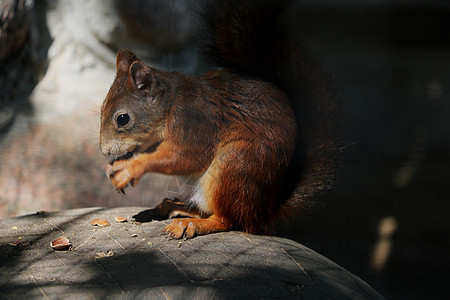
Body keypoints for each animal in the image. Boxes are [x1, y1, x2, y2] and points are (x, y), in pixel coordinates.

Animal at [97, 0, 338, 239]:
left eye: (122, 119)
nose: (105, 151)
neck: (170, 105)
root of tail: (263, 213)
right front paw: (116, 165)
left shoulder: (194, 122)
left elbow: (184, 157)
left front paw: (130, 168)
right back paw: (175, 207)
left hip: (235, 164)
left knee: (229, 219)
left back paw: (191, 223)